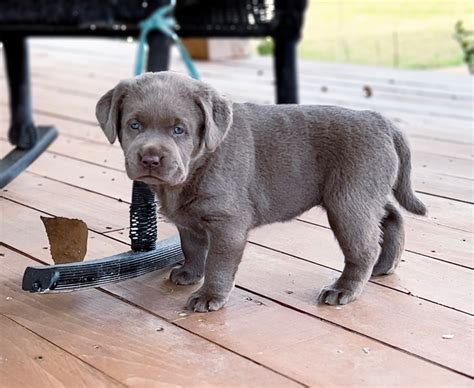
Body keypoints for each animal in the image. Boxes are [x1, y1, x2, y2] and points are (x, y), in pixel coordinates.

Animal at [95, 70, 426, 312]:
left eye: (179, 130)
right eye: (134, 125)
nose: (151, 159)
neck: (199, 165)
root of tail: (381, 121)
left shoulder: (228, 224)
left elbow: (218, 262)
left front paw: (210, 296)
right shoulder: (189, 220)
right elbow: (193, 248)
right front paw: (190, 274)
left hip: (348, 202)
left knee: (363, 247)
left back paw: (344, 289)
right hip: (365, 193)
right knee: (391, 218)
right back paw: (385, 265)